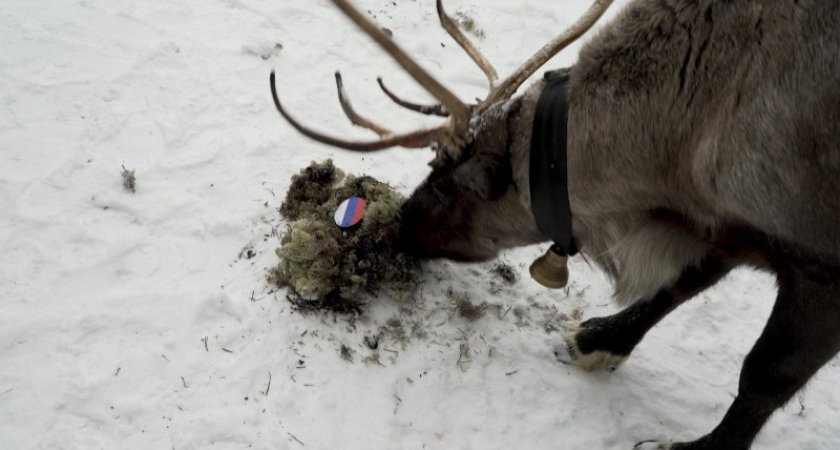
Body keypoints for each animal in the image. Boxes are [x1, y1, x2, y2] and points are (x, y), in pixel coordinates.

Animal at [270, 0, 840, 448]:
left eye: (447, 182)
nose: (400, 227)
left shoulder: (817, 263)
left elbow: (765, 374)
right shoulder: (719, 224)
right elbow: (679, 284)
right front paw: (599, 339)